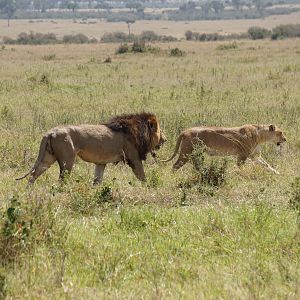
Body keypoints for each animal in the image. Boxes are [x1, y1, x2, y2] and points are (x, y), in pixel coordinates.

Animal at [16, 112, 165, 184]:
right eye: (160, 130)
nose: (165, 139)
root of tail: (50, 132)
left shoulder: (101, 163)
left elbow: (97, 180)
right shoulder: (134, 158)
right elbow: (142, 177)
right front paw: (148, 188)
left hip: (47, 157)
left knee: (34, 175)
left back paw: (29, 192)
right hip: (67, 160)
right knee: (61, 180)